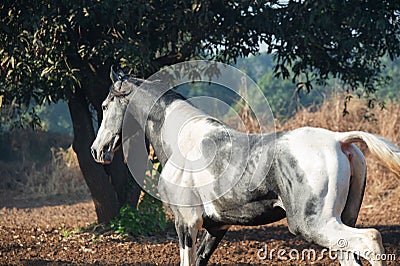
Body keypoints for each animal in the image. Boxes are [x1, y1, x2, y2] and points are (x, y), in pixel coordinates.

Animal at [91, 68, 400, 266]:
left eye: (105, 106)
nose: (97, 150)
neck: (180, 138)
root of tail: (339, 140)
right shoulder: (217, 227)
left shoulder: (186, 222)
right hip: (338, 222)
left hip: (314, 224)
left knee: (371, 240)